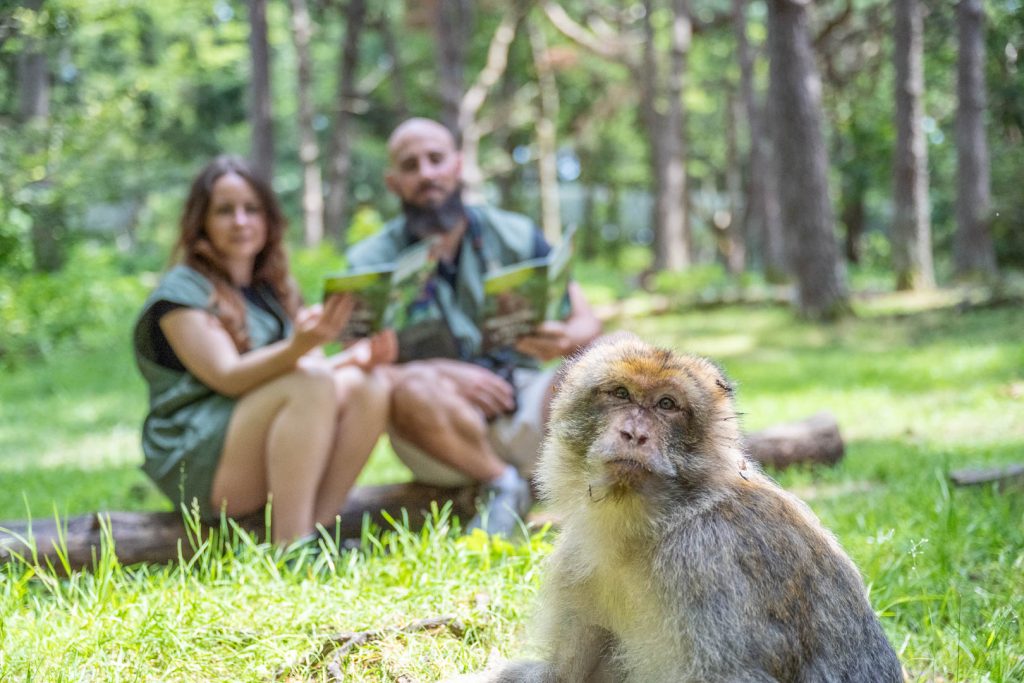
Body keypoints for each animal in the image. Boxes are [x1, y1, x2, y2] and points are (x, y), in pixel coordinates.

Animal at [481, 335, 905, 683]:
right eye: (620, 394)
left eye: (667, 404)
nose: (634, 434)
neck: (649, 527)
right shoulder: (576, 561)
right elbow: (561, 674)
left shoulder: (706, 561)